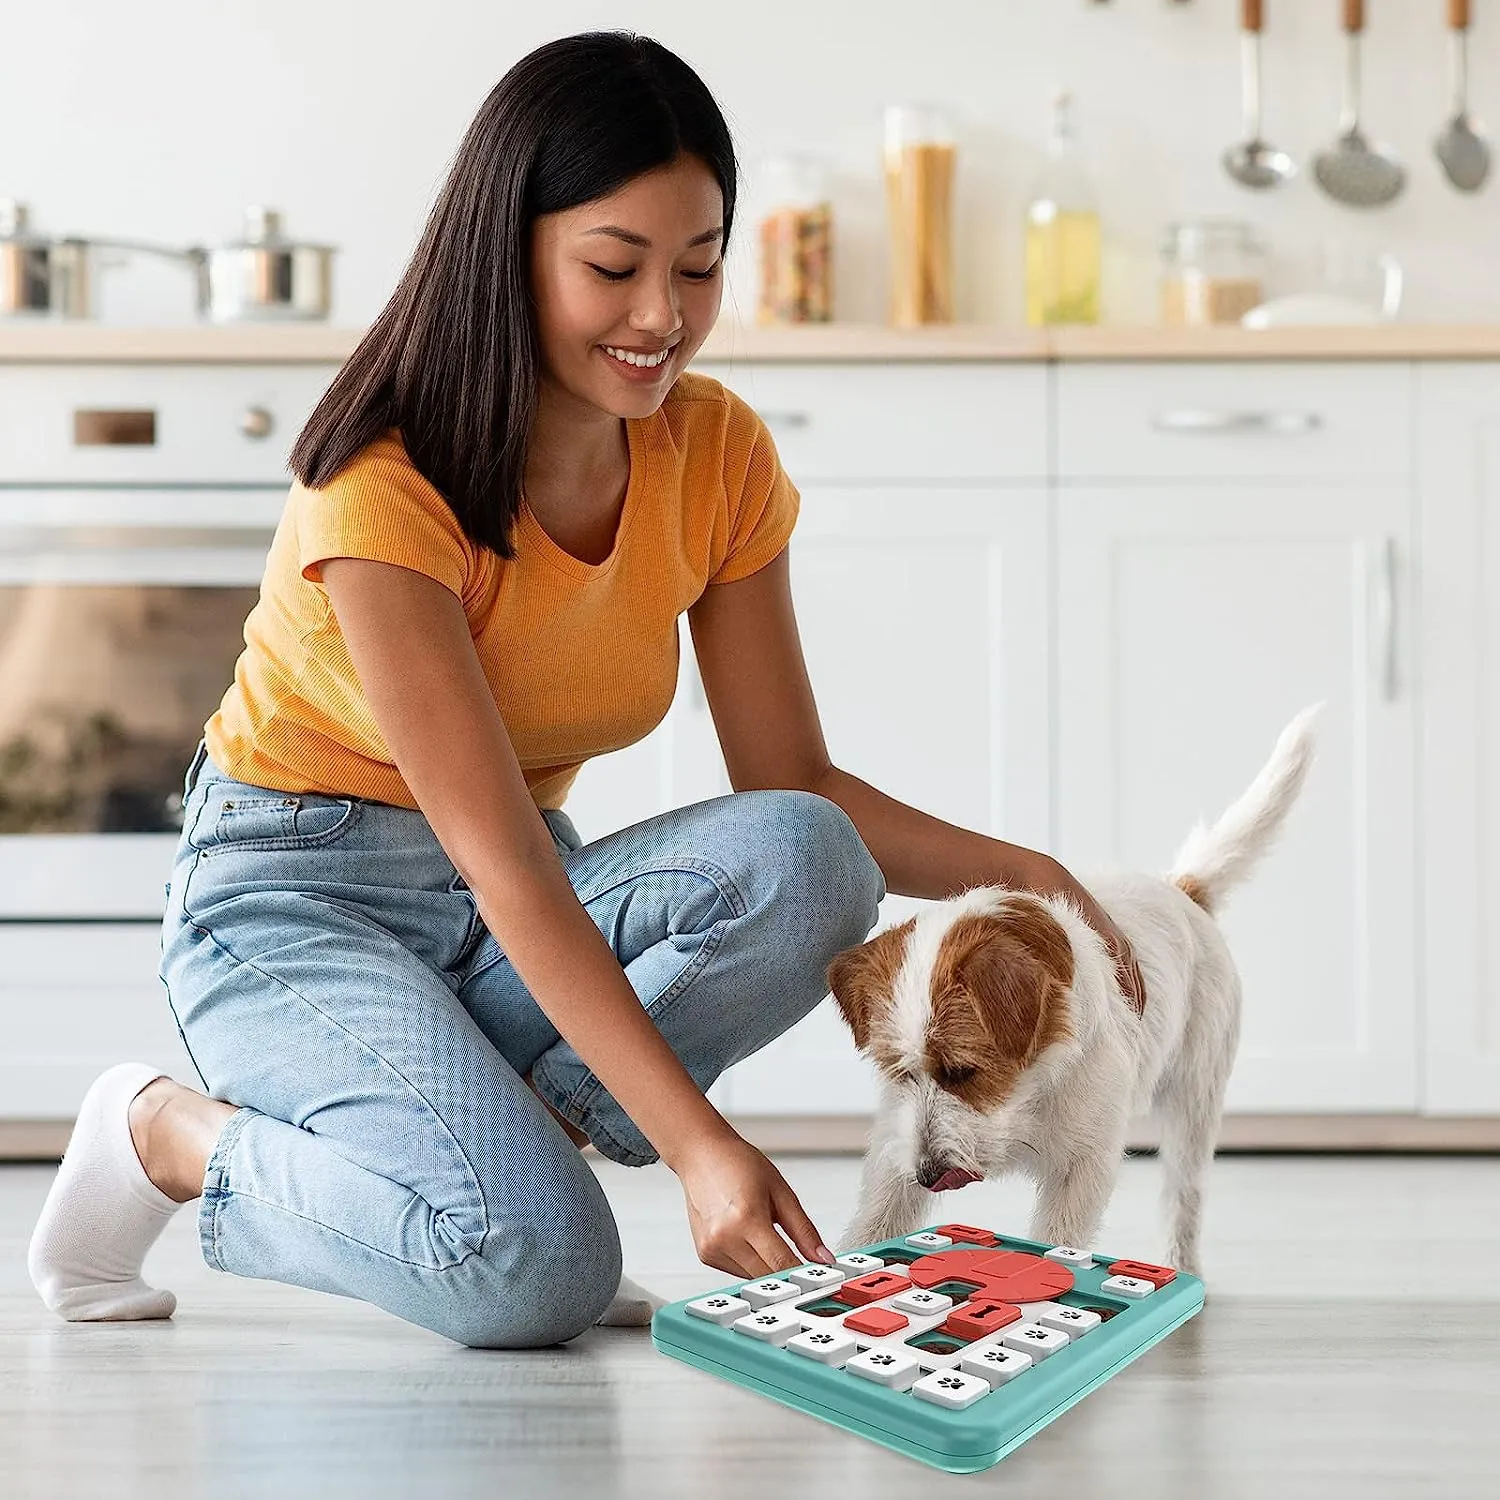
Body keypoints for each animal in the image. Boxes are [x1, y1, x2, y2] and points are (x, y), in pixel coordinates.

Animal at [828, 708, 1320, 1272]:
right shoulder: (897, 1147)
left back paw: (1185, 1268)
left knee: (1184, 1197)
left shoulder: (1082, 1168)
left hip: (1195, 1105)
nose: (929, 1175)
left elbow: (1058, 1237)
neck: (1030, 1086)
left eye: (962, 1071)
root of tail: (1180, 889)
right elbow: (876, 1219)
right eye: (898, 1073)